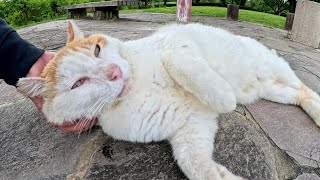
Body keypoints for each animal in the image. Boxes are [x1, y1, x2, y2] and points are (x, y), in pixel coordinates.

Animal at [16, 21, 320, 180]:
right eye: (78, 84)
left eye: (98, 50)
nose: (114, 73)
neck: (139, 88)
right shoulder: (191, 125)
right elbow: (193, 163)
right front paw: (220, 175)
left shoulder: (177, 44)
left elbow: (177, 62)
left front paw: (225, 98)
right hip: (272, 90)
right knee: (300, 95)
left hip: (272, 67)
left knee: (306, 88)